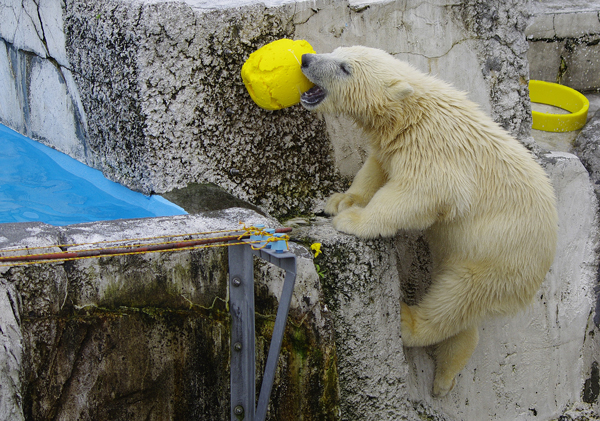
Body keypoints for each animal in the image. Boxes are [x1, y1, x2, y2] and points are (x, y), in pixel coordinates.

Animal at [300, 46, 556, 398]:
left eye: (344, 67)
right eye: (337, 50)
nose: (306, 59)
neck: (409, 112)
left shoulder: (435, 151)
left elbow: (417, 194)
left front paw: (353, 219)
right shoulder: (394, 144)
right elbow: (375, 167)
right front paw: (341, 200)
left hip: (499, 260)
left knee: (455, 297)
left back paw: (407, 323)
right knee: (463, 317)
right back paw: (445, 376)